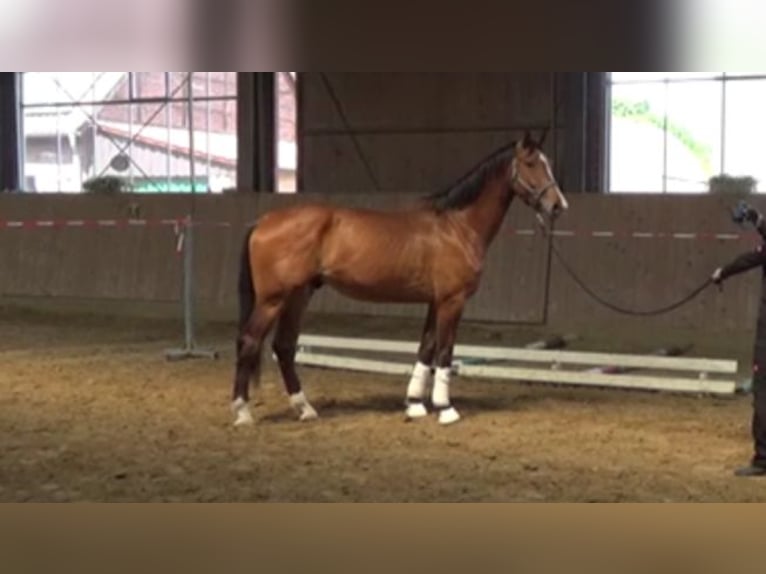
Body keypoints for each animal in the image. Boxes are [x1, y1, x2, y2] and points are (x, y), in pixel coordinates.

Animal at [231, 131, 568, 427]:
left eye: (548, 162)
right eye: (531, 163)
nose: (558, 205)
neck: (457, 226)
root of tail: (263, 221)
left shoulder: (436, 301)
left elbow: (426, 349)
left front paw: (416, 404)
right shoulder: (452, 301)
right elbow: (445, 351)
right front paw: (446, 409)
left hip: (298, 296)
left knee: (285, 346)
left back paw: (305, 409)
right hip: (272, 300)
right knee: (249, 342)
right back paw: (242, 412)